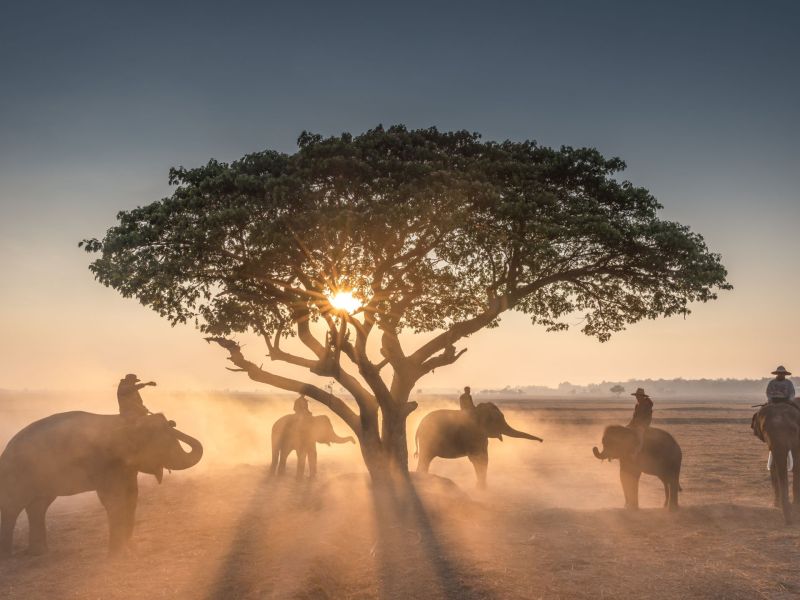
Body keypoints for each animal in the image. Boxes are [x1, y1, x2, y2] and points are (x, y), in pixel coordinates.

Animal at [0, 412, 203, 556]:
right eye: (165, 444)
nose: (172, 422)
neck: (127, 422)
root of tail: (6, 450)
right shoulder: (105, 464)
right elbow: (113, 499)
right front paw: (118, 555)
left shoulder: (126, 467)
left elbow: (132, 496)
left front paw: (132, 550)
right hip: (18, 474)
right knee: (13, 508)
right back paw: (7, 556)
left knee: (38, 506)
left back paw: (39, 553)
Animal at [412, 404, 544, 488]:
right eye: (499, 421)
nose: (541, 441)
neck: (478, 411)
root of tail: (418, 426)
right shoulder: (473, 434)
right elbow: (478, 458)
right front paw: (481, 488)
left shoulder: (481, 436)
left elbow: (484, 458)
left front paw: (482, 487)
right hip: (428, 439)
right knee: (425, 458)